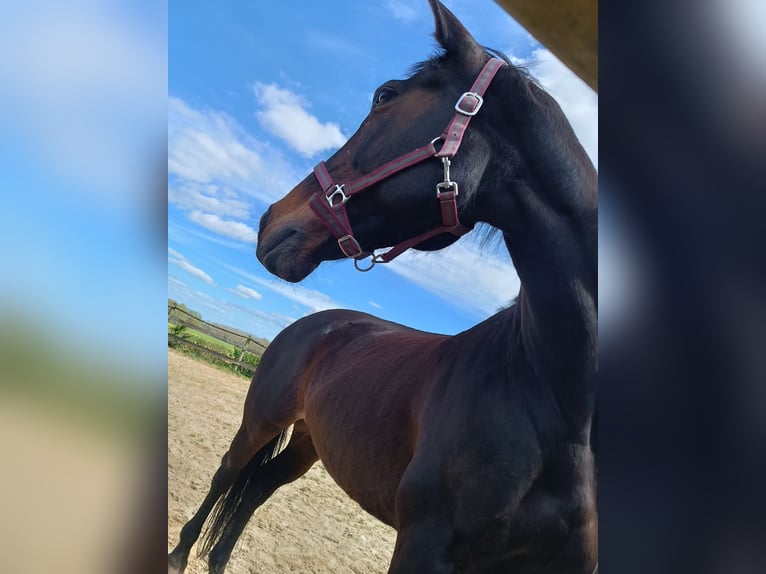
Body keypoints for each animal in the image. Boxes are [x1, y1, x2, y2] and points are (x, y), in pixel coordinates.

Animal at [170, 2, 600, 572]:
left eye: (384, 96)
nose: (268, 222)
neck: (563, 409)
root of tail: (317, 323)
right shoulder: (422, 544)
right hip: (260, 420)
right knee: (228, 472)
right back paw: (179, 553)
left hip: (309, 441)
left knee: (257, 488)